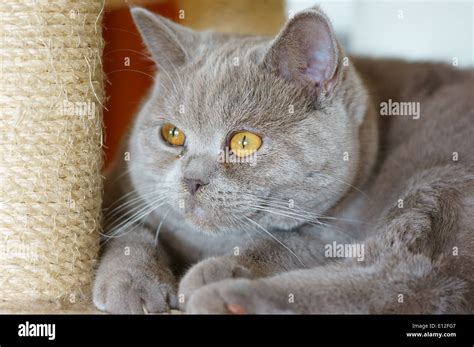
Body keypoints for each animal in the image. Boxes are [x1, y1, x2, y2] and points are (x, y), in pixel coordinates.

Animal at [92, 6, 474, 316]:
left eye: (244, 142)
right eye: (172, 134)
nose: (192, 180)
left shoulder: (338, 230)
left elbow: (282, 244)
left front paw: (219, 269)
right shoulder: (118, 193)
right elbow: (129, 232)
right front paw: (131, 283)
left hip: (437, 178)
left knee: (408, 274)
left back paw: (224, 298)